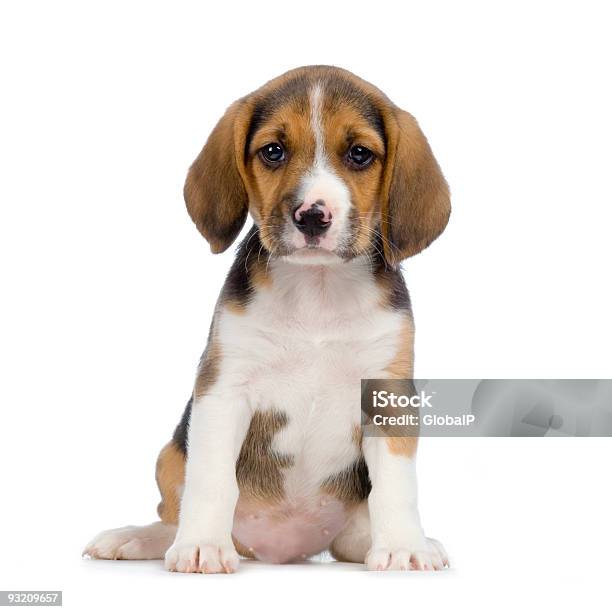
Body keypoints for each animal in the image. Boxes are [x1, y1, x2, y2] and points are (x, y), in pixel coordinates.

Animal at [83, 64, 450, 572]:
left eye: (359, 154)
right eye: (273, 151)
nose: (312, 216)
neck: (318, 290)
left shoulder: (387, 393)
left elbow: (396, 487)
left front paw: (403, 547)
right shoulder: (223, 389)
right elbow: (212, 480)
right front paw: (202, 545)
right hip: (169, 455)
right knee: (171, 516)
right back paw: (138, 538)